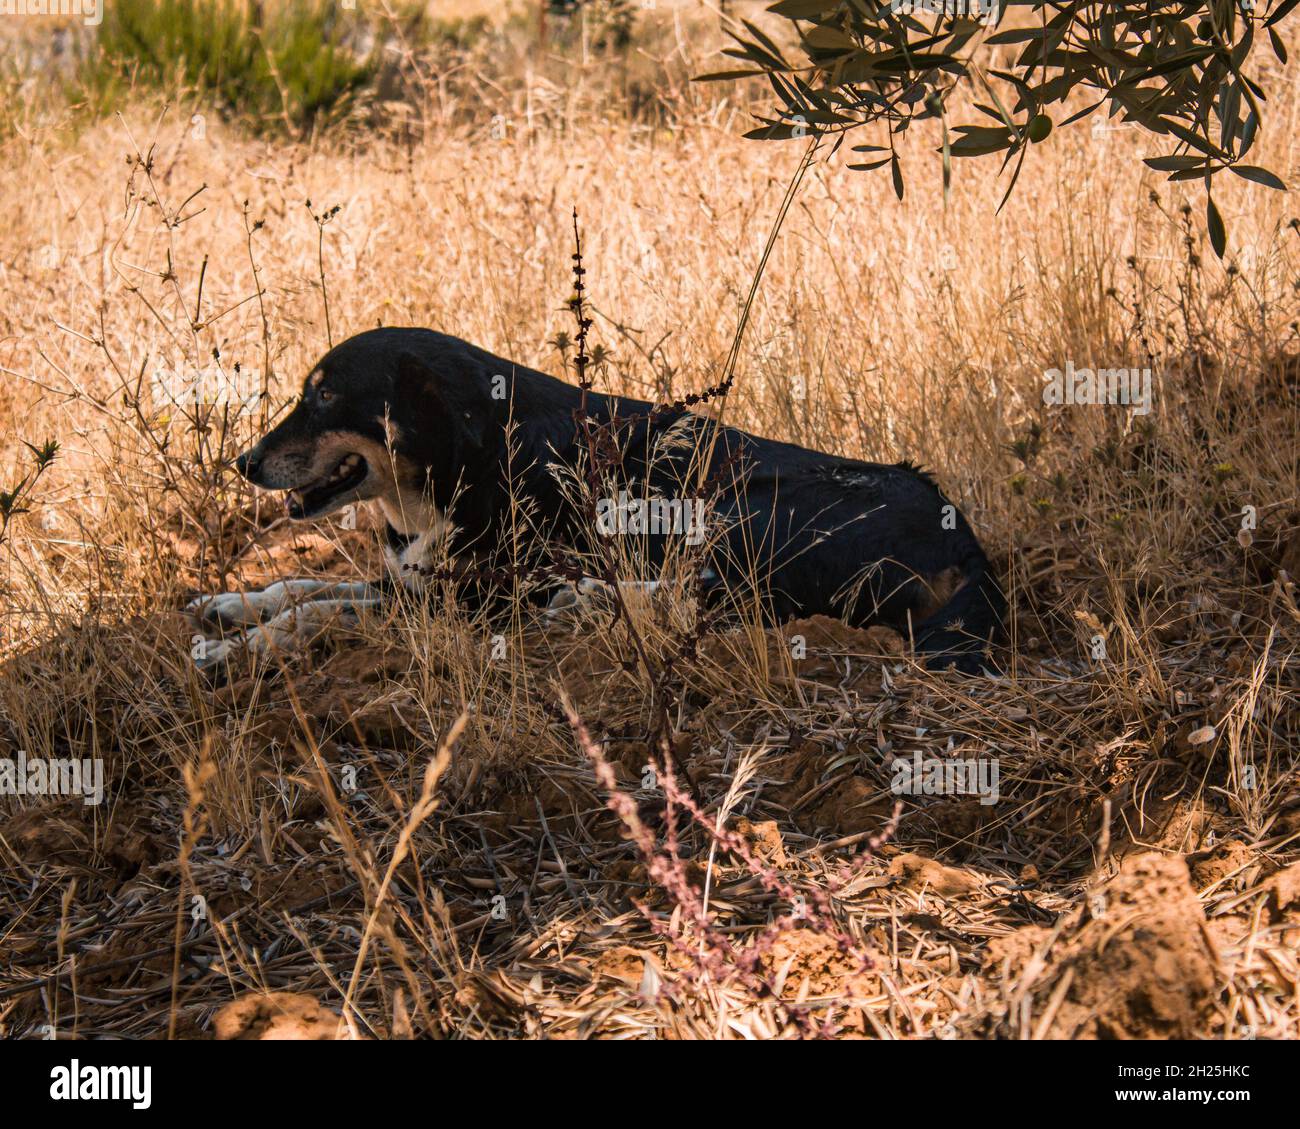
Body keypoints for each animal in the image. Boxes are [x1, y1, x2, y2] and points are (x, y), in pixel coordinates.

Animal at [189, 330, 1003, 676]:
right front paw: (229, 607)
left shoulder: (478, 599)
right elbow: (304, 584)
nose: (243, 462)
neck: (467, 460)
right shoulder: (417, 579)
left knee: (733, 603)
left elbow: (321, 611)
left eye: (326, 395)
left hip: (746, 506)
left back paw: (585, 604)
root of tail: (962, 538)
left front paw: (235, 649)